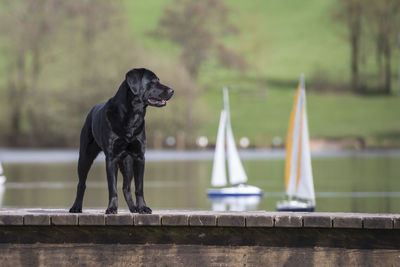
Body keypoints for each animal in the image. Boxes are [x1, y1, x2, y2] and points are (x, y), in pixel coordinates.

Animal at [70, 68, 173, 216]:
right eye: (153, 81)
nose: (172, 90)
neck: (132, 115)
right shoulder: (111, 158)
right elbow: (112, 187)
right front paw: (112, 208)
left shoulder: (139, 157)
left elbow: (139, 187)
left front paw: (143, 207)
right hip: (85, 156)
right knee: (81, 183)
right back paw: (76, 207)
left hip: (127, 162)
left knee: (126, 187)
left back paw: (134, 208)